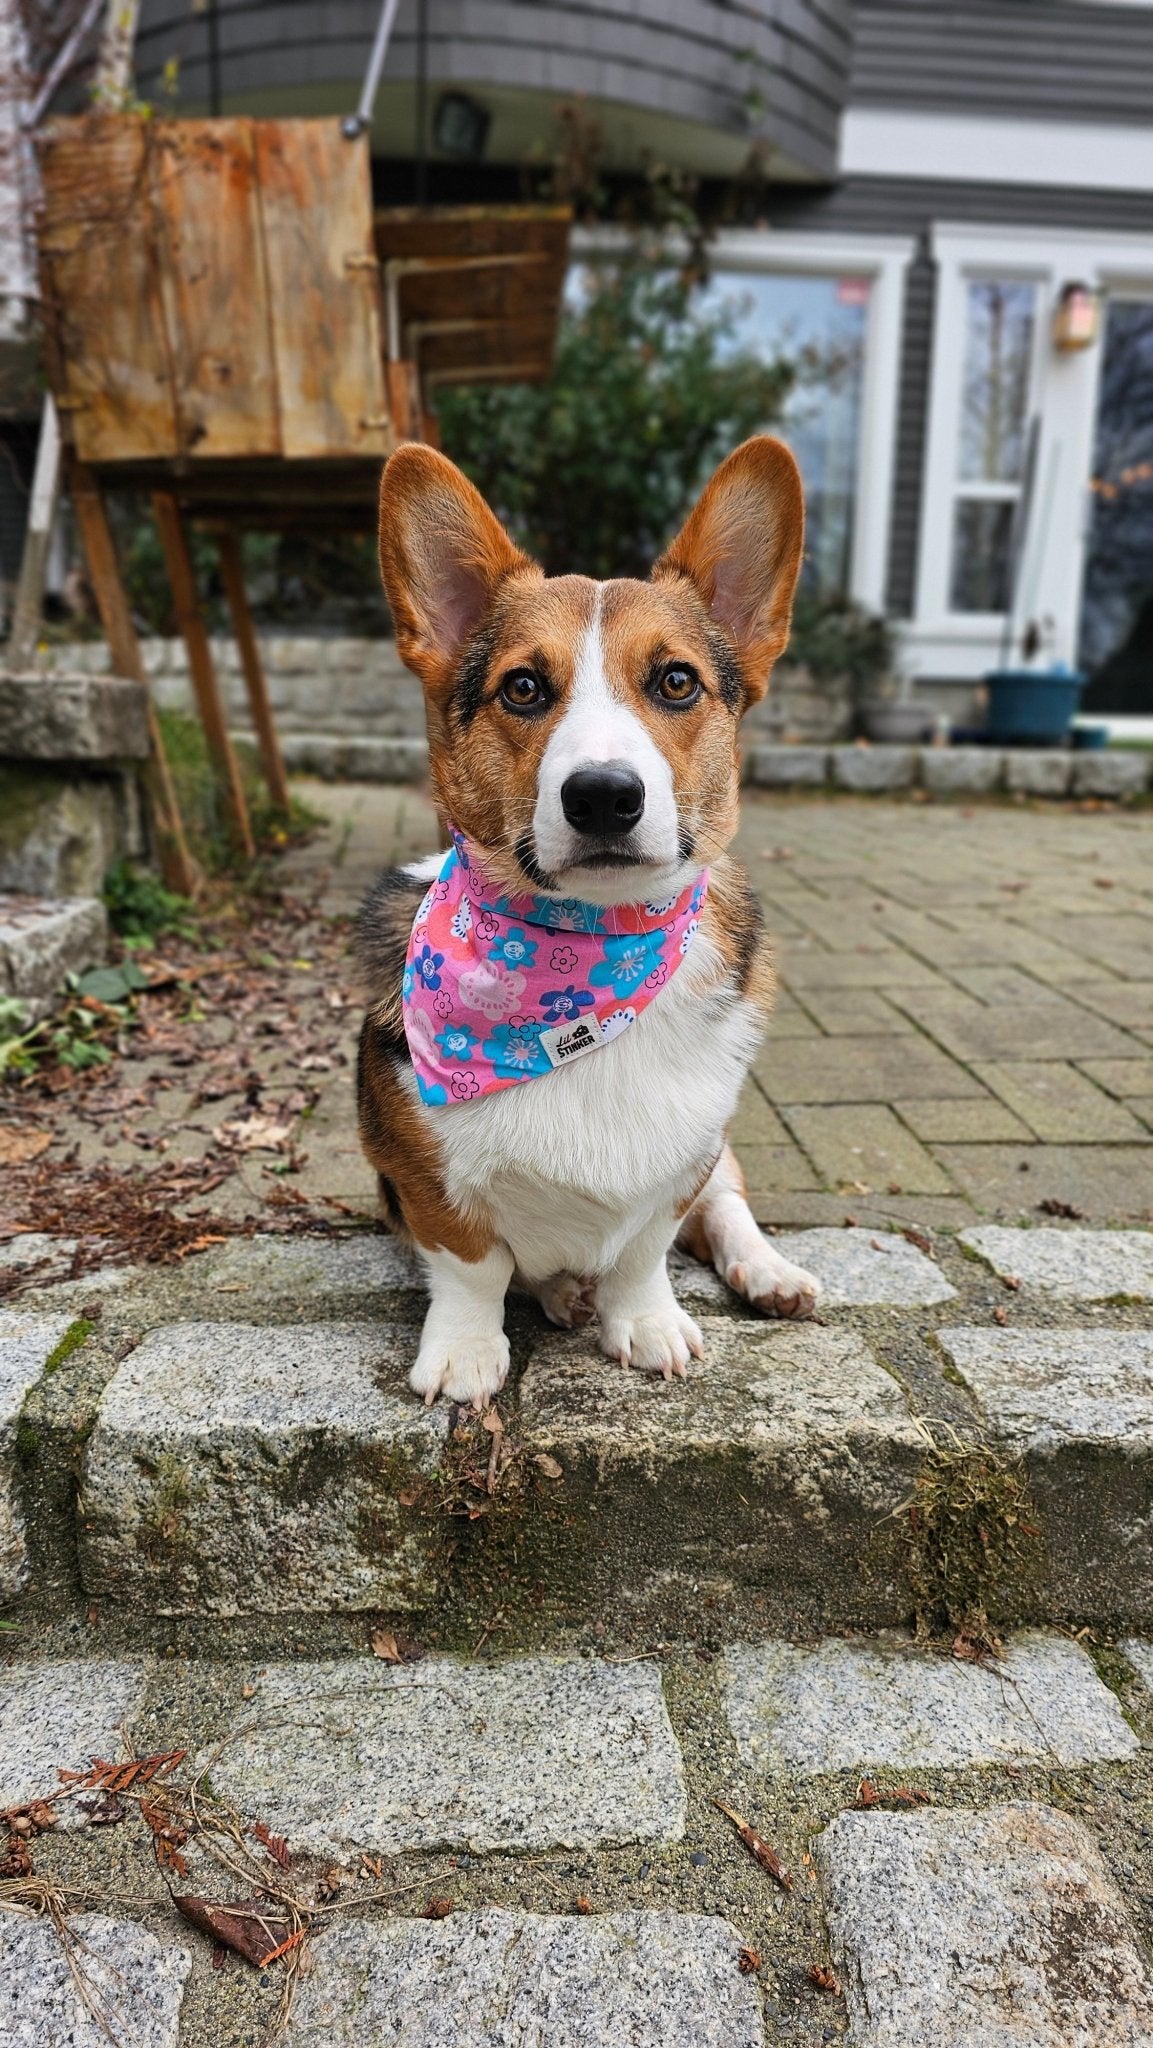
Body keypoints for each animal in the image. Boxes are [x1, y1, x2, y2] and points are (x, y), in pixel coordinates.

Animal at [356, 432, 815, 1409]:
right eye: (524, 688)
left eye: (676, 681)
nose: (603, 794)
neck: (583, 964)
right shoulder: (420, 1172)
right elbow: (472, 1265)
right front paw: (463, 1354)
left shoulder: (681, 1160)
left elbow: (647, 1246)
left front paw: (643, 1323)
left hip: (720, 1155)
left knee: (728, 1208)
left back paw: (767, 1274)